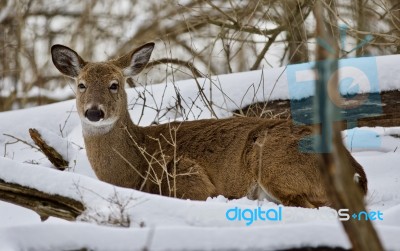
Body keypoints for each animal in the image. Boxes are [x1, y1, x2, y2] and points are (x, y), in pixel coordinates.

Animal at [50, 42, 368, 208]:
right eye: (81, 84)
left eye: (115, 84)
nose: (94, 112)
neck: (137, 163)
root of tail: (357, 174)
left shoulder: (189, 178)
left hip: (276, 166)